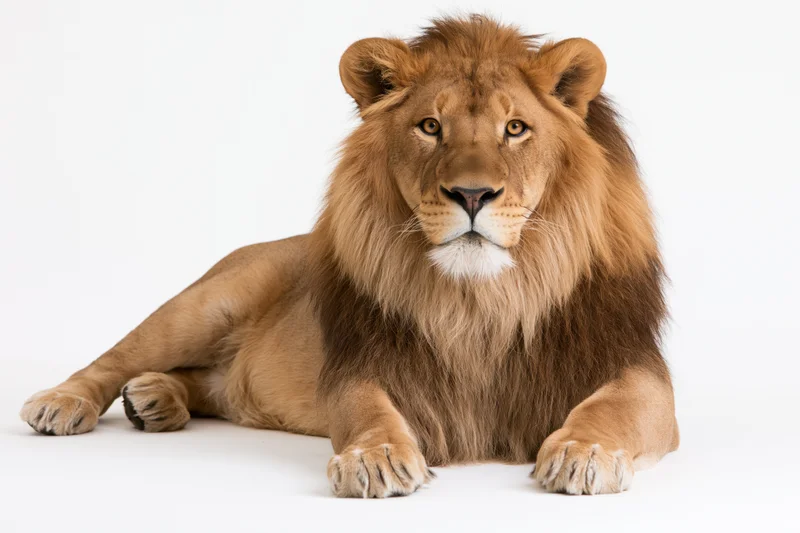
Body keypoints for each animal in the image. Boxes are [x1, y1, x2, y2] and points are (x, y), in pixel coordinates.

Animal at [20, 15, 679, 497]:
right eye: (430, 127)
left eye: (515, 129)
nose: (471, 195)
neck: (481, 300)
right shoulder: (363, 362)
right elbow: (367, 410)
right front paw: (378, 457)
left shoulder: (638, 368)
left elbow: (613, 408)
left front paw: (582, 450)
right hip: (208, 301)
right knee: (117, 355)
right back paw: (64, 402)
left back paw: (156, 398)